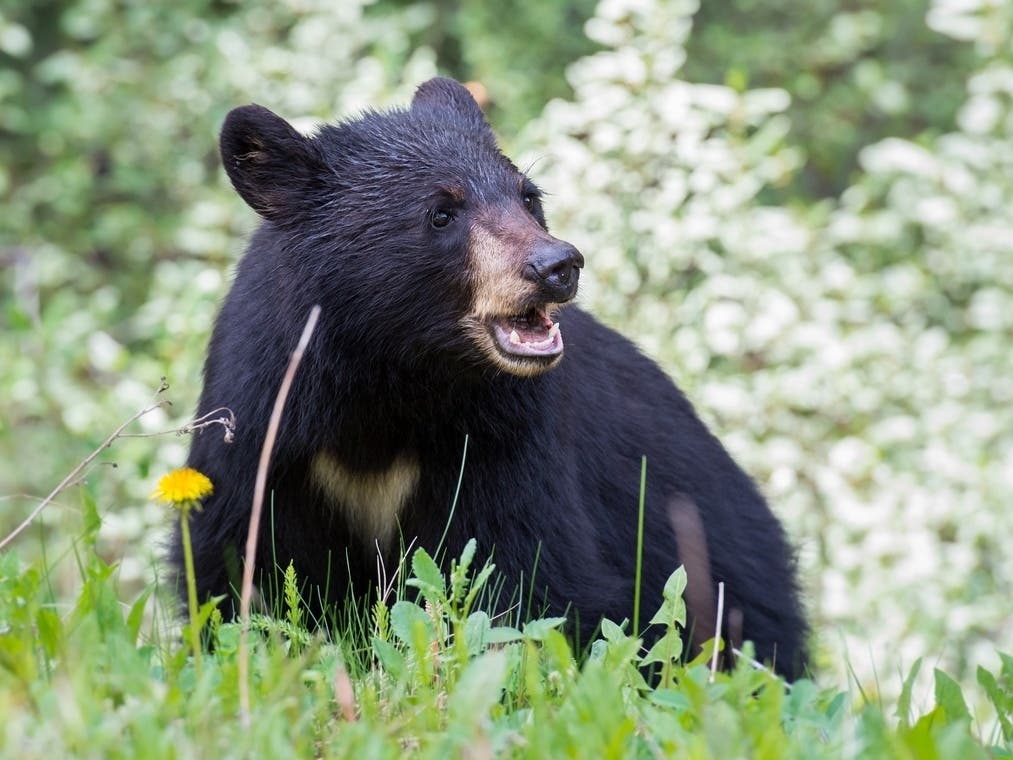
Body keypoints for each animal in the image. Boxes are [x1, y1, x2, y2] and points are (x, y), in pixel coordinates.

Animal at [174, 79, 806, 676]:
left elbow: (525, 571)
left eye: (529, 197)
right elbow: (237, 563)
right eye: (441, 213)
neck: (389, 376)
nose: (557, 265)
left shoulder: (503, 434)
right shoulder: (266, 423)